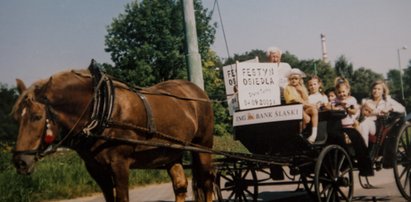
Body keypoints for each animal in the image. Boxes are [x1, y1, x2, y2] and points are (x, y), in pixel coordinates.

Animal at [11, 67, 214, 201]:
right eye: (16, 118)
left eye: (37, 117)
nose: (20, 162)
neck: (101, 107)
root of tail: (196, 90)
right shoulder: (96, 169)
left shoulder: (119, 164)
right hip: (171, 153)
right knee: (180, 186)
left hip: (203, 147)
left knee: (207, 183)